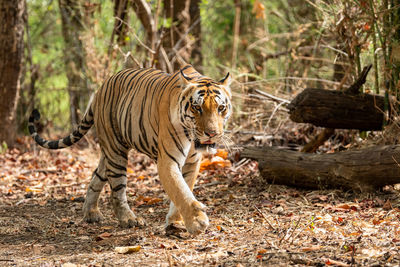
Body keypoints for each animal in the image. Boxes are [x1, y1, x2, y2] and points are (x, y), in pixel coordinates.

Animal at [28, 64, 231, 234]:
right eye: (197, 108)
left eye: (221, 108)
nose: (212, 133)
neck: (191, 137)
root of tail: (100, 90)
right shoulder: (168, 161)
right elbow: (180, 191)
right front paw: (197, 222)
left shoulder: (192, 162)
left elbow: (185, 188)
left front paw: (176, 222)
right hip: (116, 150)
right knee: (116, 191)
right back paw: (128, 219)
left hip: (108, 154)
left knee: (97, 176)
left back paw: (91, 213)